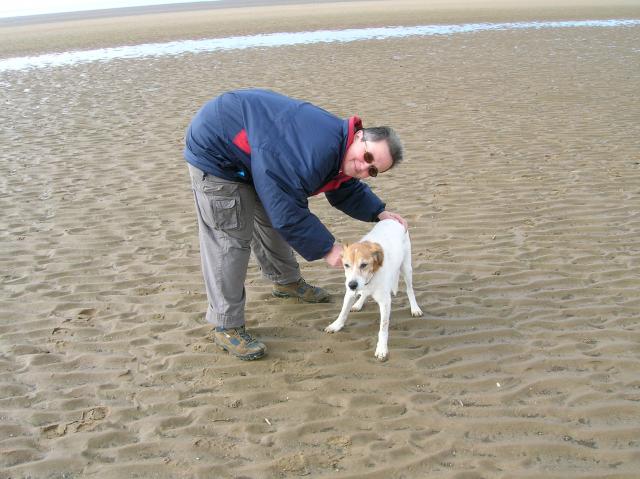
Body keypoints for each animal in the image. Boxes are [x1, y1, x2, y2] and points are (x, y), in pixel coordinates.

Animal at [324, 219, 424, 362]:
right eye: (346, 265)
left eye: (364, 265)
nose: (352, 285)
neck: (371, 276)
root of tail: (392, 219)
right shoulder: (350, 293)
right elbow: (343, 312)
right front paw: (336, 325)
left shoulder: (385, 302)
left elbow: (383, 328)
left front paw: (381, 348)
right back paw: (358, 304)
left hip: (406, 267)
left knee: (410, 289)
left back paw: (415, 308)